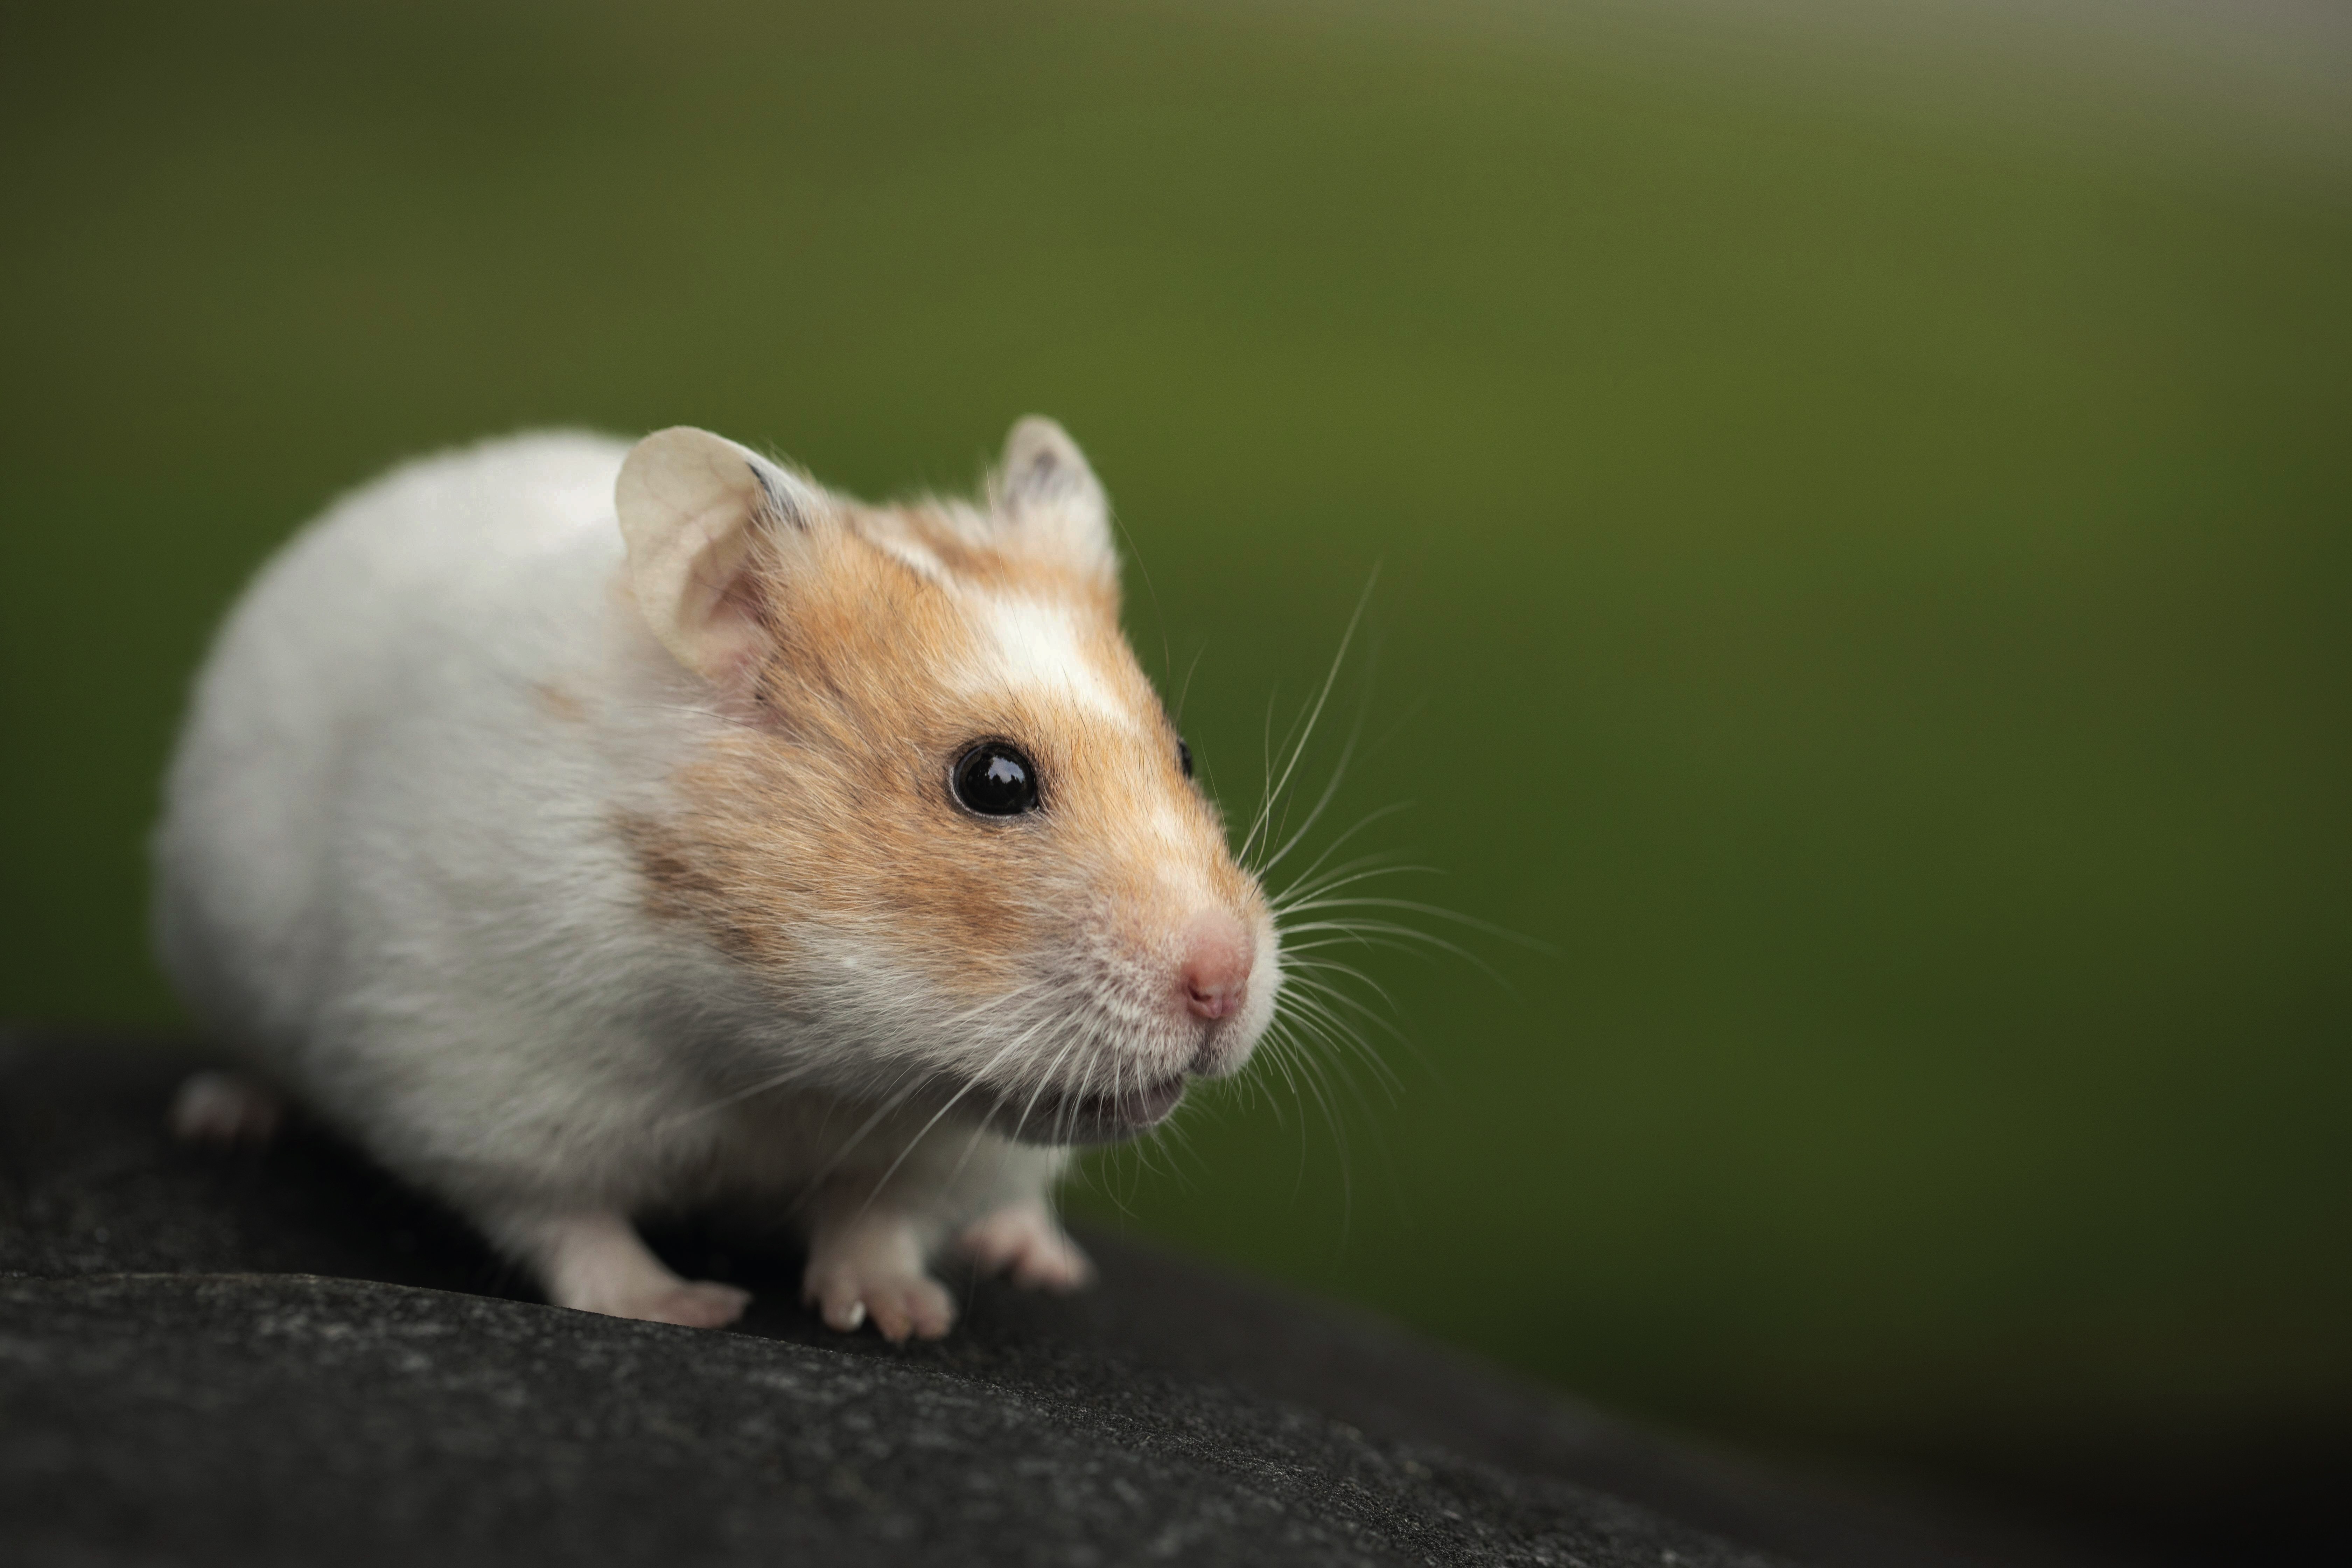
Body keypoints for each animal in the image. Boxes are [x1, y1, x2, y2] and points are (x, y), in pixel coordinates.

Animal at [152, 419, 1280, 1340]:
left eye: (1184, 754)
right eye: (993, 780)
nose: (1225, 985)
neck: (789, 1053)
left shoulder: (940, 1150)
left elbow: (879, 1219)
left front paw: (902, 1318)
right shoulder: (476, 1075)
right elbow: (569, 1223)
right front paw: (689, 1309)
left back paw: (1031, 1255)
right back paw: (226, 1117)